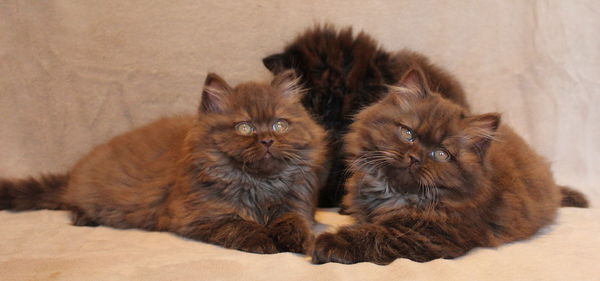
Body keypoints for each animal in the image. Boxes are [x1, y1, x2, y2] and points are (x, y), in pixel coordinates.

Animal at [0, 70, 326, 254]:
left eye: (279, 125)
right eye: (244, 128)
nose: (267, 141)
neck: (258, 185)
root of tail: (76, 171)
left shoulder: (295, 205)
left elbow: (294, 221)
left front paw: (300, 240)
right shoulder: (197, 216)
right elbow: (238, 225)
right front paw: (263, 240)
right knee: (74, 202)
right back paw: (84, 217)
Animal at [312, 67, 588, 262]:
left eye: (441, 154)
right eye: (408, 133)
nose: (414, 158)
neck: (393, 192)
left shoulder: (433, 234)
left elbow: (377, 234)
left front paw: (329, 244)